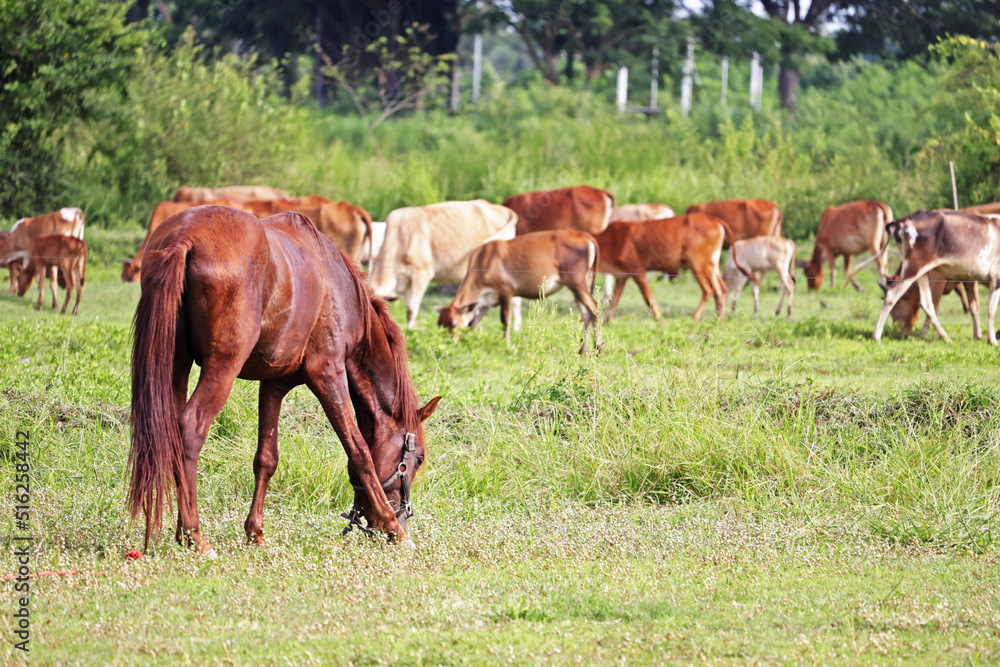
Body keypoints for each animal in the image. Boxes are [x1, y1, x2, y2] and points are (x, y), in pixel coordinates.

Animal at [128, 207, 438, 552]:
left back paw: (183, 532)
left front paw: (255, 532)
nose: (403, 517)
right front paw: (393, 527)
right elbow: (359, 451)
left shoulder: (274, 385)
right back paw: (195, 535)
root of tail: (184, 236)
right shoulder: (328, 374)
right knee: (189, 429)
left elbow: (266, 458)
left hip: (175, 365)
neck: (339, 286)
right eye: (419, 459)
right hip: (222, 368)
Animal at [438, 230, 600, 354]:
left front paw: (507, 346)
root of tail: (584, 235)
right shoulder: (485, 302)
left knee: (594, 309)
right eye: (440, 324)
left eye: (453, 324)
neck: (483, 261)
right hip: (578, 287)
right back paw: (582, 350)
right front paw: (467, 342)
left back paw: (598, 348)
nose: (448, 343)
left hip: (577, 283)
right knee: (586, 314)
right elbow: (473, 323)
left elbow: (505, 321)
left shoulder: (506, 291)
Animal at [592, 215, 752, 322]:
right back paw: (719, 321)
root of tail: (714, 220)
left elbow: (648, 299)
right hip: (712, 266)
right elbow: (615, 300)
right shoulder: (622, 276)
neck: (611, 239)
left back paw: (695, 317)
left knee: (708, 290)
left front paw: (660, 321)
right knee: (721, 291)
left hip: (698, 265)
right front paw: (606, 323)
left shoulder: (637, 271)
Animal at [872, 210, 1000, 344]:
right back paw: (876, 337)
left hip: (922, 272)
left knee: (927, 304)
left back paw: (946, 337)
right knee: (892, 296)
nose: (899, 328)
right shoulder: (996, 277)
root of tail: (906, 219)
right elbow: (991, 309)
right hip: (913, 267)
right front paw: (992, 340)